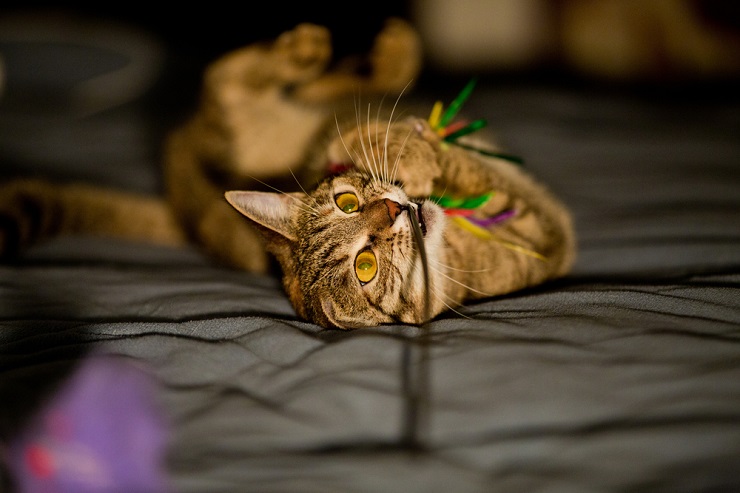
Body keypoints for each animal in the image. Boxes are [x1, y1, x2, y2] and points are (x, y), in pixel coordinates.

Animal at [0, 19, 576, 328]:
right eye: (365, 266)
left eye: (347, 202)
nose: (393, 208)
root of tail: (188, 203)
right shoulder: (545, 231)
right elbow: (485, 180)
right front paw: (424, 157)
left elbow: (364, 137)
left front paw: (403, 149)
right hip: (229, 123)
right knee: (225, 81)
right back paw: (315, 52)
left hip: (276, 119)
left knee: (325, 84)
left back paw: (373, 51)